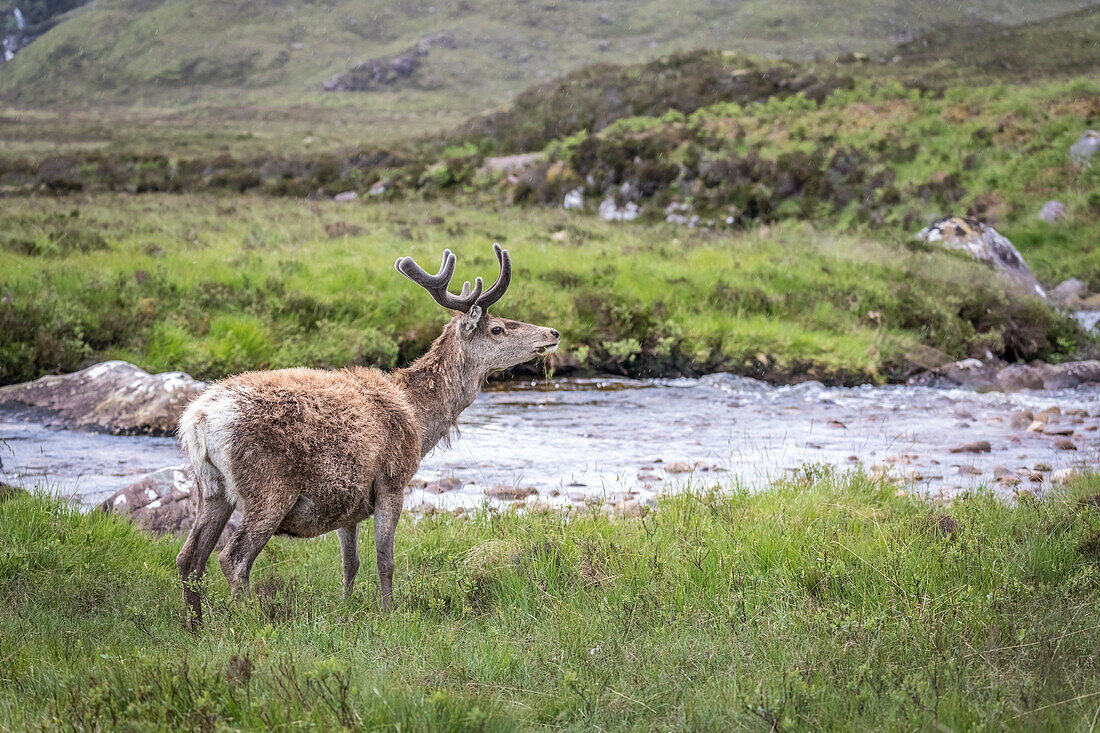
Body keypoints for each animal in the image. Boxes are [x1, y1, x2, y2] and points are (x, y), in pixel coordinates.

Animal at [177, 244, 563, 620]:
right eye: (497, 328)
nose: (553, 333)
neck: (419, 422)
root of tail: (199, 421)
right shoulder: (392, 480)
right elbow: (384, 559)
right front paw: (389, 614)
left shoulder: (347, 499)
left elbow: (350, 563)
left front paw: (345, 607)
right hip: (269, 486)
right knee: (232, 557)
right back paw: (250, 620)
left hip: (211, 487)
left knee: (189, 557)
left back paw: (196, 625)